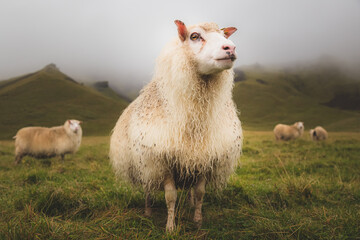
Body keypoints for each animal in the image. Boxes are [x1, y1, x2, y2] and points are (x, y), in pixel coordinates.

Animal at [108, 19, 243, 231]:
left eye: (224, 36)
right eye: (194, 36)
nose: (230, 48)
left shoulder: (204, 160)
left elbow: (200, 193)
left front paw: (197, 220)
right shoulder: (163, 163)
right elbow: (170, 197)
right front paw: (170, 227)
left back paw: (189, 204)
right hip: (145, 165)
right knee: (148, 188)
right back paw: (148, 210)